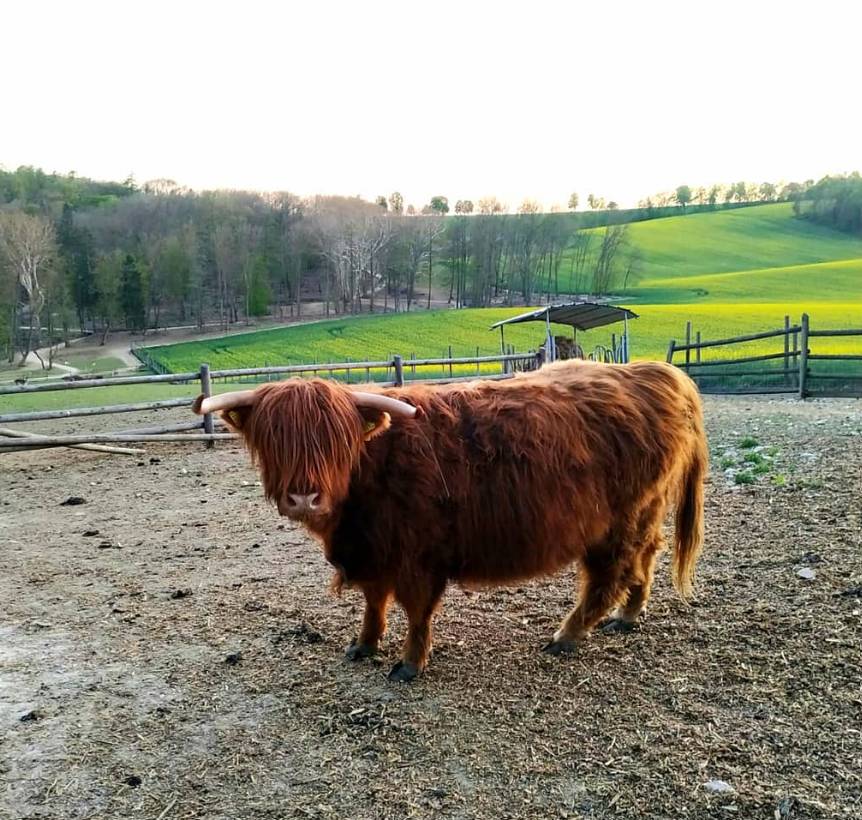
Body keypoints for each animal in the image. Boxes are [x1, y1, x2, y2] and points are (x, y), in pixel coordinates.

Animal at [193, 359, 707, 682]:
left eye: (336, 440)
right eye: (273, 437)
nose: (303, 496)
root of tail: (653, 372)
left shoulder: (417, 555)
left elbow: (416, 610)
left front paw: (409, 664)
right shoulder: (373, 551)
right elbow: (373, 602)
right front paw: (363, 645)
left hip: (617, 522)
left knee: (610, 574)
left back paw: (568, 634)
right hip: (644, 512)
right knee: (646, 555)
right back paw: (629, 615)